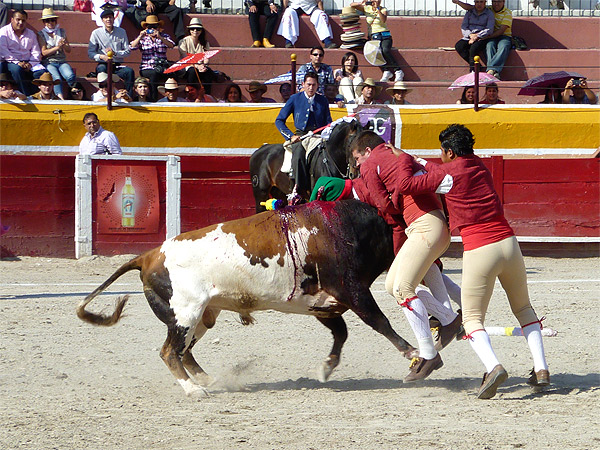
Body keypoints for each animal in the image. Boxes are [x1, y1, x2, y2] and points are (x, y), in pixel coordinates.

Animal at [77, 199, 418, 396]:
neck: (344, 226)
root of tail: (148, 256)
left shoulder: (324, 304)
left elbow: (341, 333)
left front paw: (326, 368)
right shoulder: (353, 291)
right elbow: (380, 322)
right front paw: (414, 353)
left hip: (201, 317)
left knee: (184, 351)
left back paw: (206, 380)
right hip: (186, 313)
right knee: (169, 352)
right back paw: (193, 390)